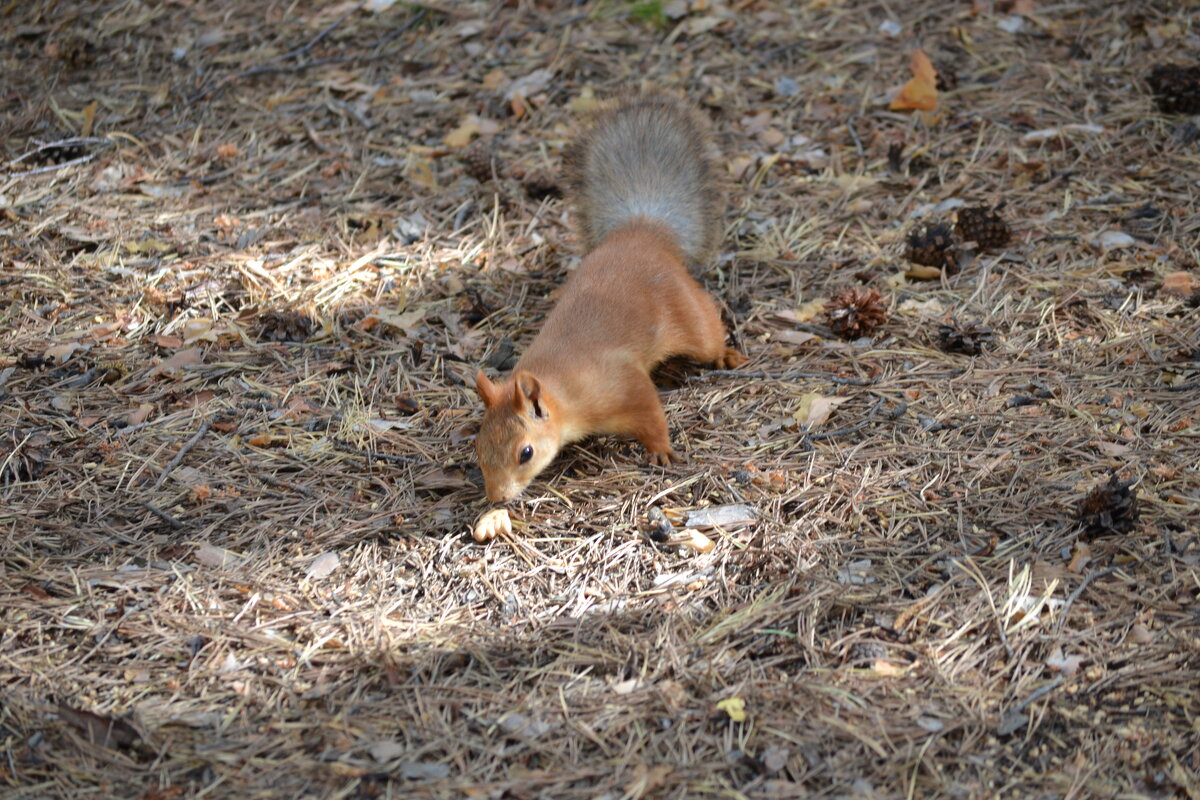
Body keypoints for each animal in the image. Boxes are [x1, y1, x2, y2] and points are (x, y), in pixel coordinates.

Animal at [472, 95, 744, 506]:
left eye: (526, 452)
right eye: (479, 449)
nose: (497, 499)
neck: (562, 387)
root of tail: (642, 231)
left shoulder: (622, 384)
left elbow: (651, 414)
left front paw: (660, 450)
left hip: (690, 318)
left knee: (708, 332)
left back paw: (726, 354)